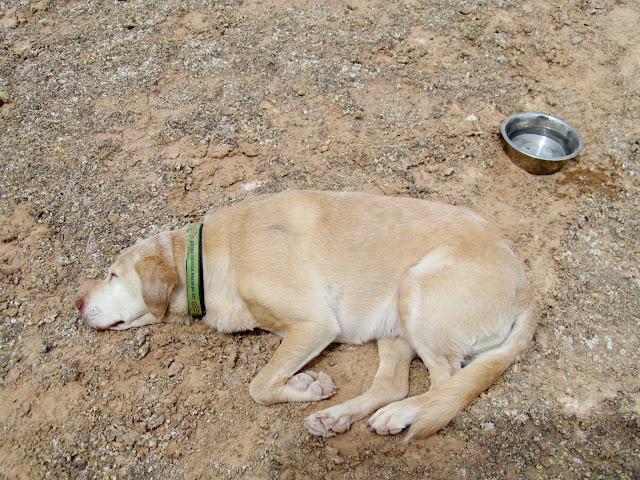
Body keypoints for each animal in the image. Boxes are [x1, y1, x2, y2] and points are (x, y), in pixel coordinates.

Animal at [76, 189, 536, 440]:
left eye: (112, 274)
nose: (78, 304)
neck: (203, 259)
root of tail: (526, 285)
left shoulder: (316, 324)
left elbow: (259, 386)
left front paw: (307, 387)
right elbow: (266, 380)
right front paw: (309, 390)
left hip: (416, 293)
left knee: (444, 384)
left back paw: (397, 416)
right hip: (395, 321)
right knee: (394, 385)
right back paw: (336, 418)